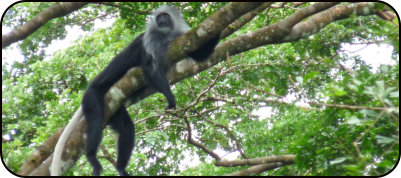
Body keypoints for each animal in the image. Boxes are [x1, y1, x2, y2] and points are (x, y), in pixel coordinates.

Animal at [50, 5, 219, 175]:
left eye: (165, 16)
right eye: (159, 17)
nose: (161, 20)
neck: (166, 36)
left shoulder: (183, 38)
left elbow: (199, 56)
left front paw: (217, 31)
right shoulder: (150, 41)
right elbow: (149, 68)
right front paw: (170, 97)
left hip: (114, 110)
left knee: (127, 129)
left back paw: (121, 168)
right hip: (93, 98)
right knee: (97, 120)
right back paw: (92, 157)